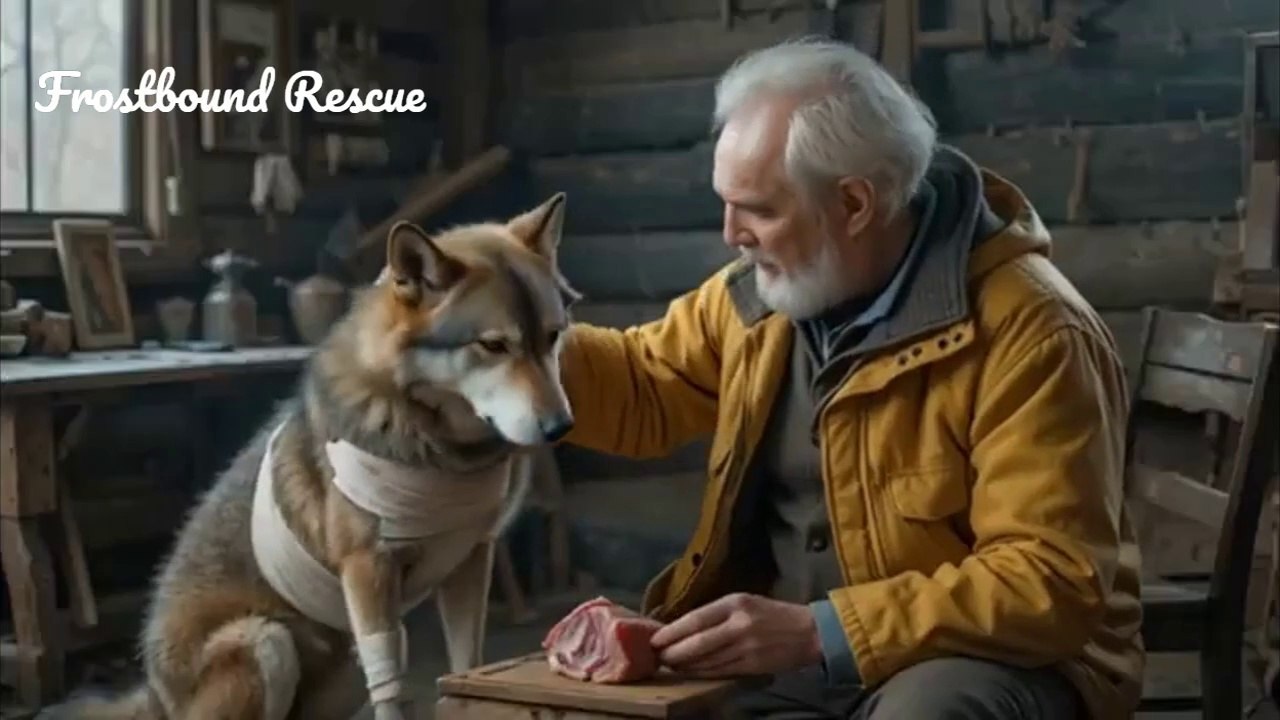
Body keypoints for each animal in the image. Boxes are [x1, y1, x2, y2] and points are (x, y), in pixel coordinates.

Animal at [45, 193, 579, 720]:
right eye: (494, 345)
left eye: (553, 335)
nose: (560, 428)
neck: (441, 449)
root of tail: (154, 696)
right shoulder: (367, 572)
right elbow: (393, 694)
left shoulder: (470, 560)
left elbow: (467, 666)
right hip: (268, 642)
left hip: (343, 667)